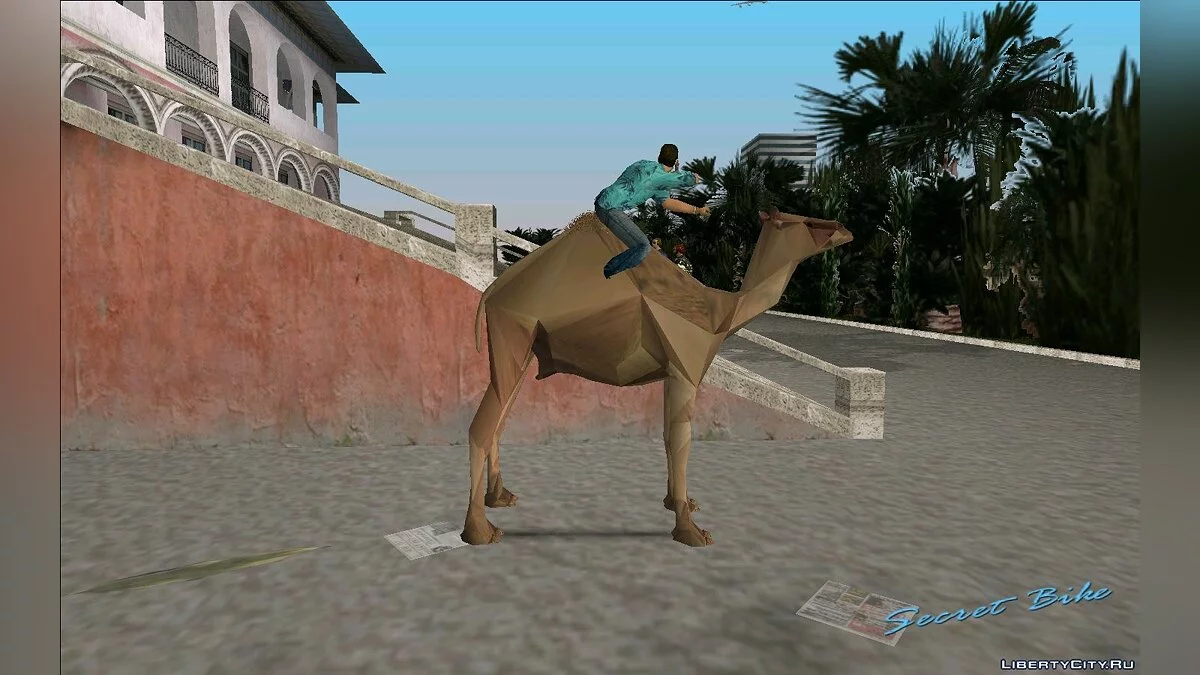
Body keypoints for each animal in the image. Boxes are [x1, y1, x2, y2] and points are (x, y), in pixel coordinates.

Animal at [462, 209, 853, 547]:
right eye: (808, 223)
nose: (844, 229)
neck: (719, 313)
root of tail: (490, 292)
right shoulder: (685, 370)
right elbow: (681, 441)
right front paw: (691, 531)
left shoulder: (671, 372)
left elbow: (667, 438)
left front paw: (680, 503)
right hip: (514, 335)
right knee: (481, 426)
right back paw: (479, 532)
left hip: (523, 350)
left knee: (498, 420)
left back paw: (499, 498)